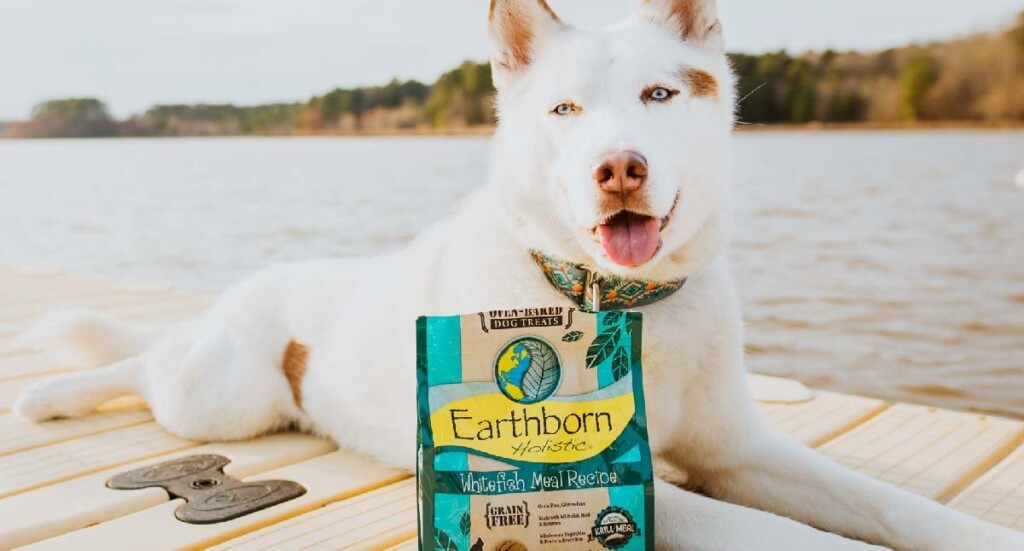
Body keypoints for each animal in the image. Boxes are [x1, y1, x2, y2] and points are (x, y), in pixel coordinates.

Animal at [14, 2, 1024, 544]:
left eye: (661, 93)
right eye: (565, 110)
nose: (618, 168)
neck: (619, 303)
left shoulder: (739, 448)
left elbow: (890, 506)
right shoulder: (635, 484)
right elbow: (792, 538)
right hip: (223, 398)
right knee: (142, 363)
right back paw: (54, 391)